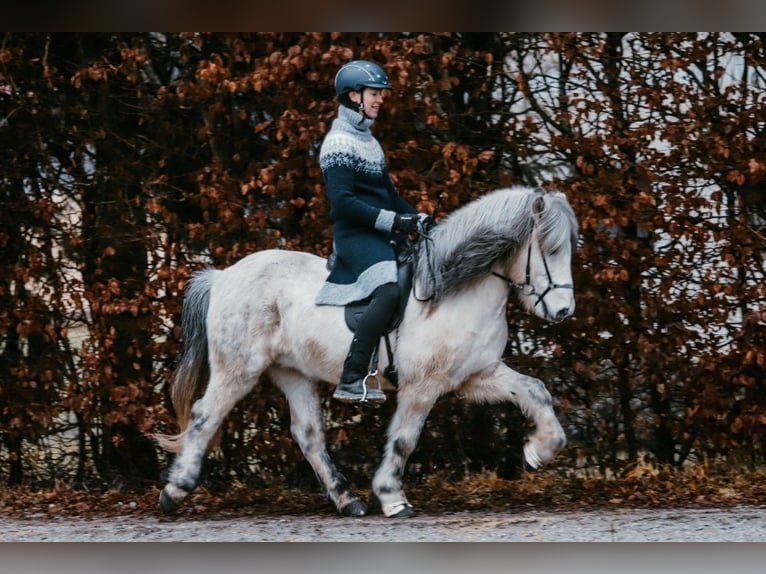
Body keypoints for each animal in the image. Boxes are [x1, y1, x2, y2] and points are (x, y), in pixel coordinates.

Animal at [154, 185, 579, 518]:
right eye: (549, 249)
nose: (563, 311)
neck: (453, 291)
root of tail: (223, 276)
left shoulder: (477, 375)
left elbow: (536, 391)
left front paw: (539, 451)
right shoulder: (422, 387)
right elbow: (405, 440)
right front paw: (392, 497)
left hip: (293, 373)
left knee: (308, 434)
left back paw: (347, 500)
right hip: (237, 369)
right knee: (205, 416)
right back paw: (174, 490)